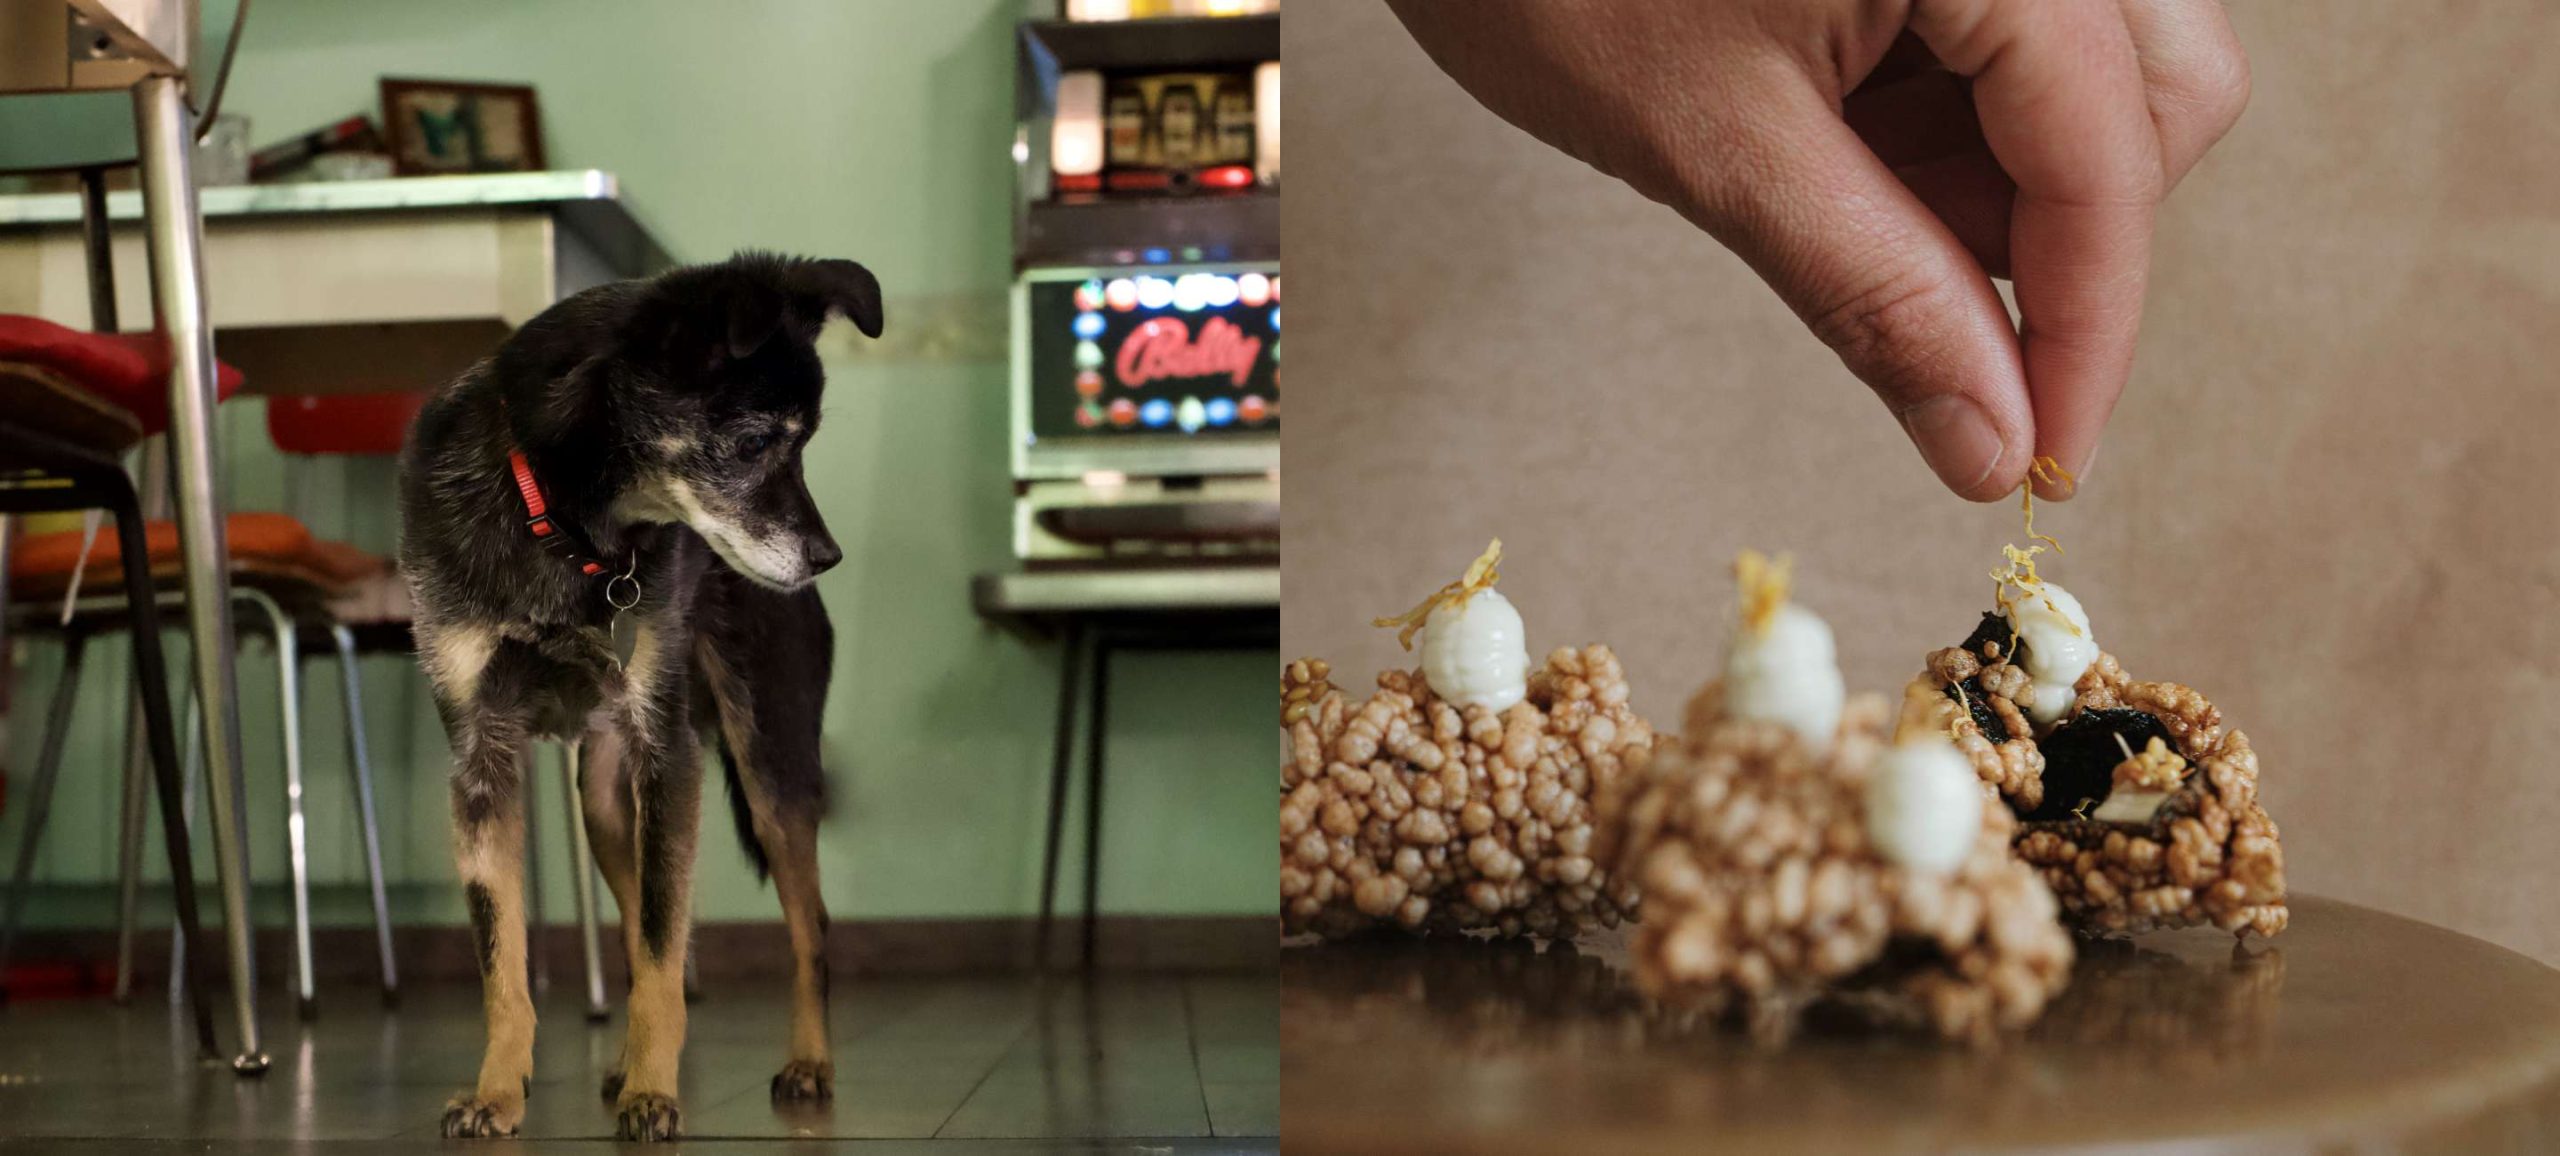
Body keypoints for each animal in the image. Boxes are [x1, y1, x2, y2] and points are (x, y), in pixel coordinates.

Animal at [394, 250, 880, 1135]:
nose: (827, 557)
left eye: (805, 445)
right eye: (753, 442)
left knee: (806, 927)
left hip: (770, 765)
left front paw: (655, 1091)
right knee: (633, 922)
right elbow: (505, 958)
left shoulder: (669, 752)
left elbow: (662, 947)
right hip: (605, 799)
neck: (559, 523)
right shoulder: (481, 761)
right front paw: (496, 1090)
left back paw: (808, 1061)